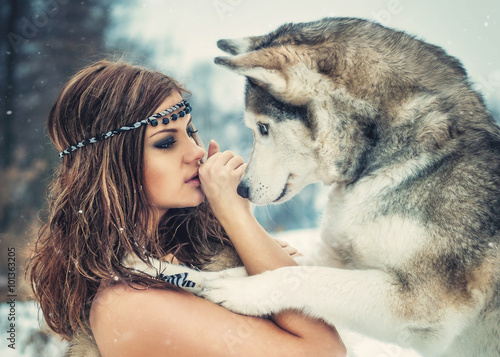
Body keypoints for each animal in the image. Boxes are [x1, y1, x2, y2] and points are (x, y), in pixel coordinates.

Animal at [126, 16, 500, 356]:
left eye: (263, 128)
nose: (241, 191)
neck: (382, 163)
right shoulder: (340, 261)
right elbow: (261, 269)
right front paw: (163, 271)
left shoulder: (426, 305)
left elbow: (303, 278)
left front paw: (241, 293)